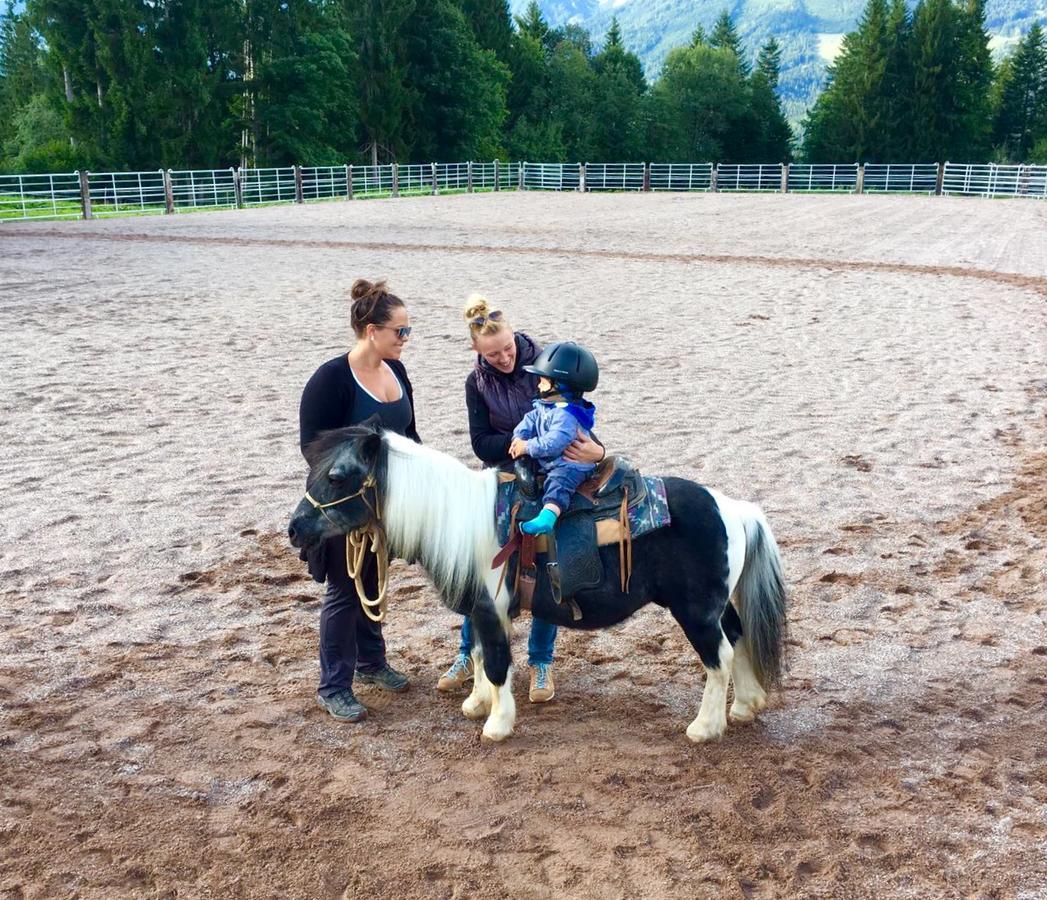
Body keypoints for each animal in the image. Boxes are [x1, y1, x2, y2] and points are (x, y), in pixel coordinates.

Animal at [286, 424, 787, 740]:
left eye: (337, 476)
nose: (294, 529)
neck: (463, 517)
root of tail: (733, 508)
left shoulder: (490, 609)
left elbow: (496, 663)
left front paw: (497, 724)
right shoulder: (483, 611)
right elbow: (483, 655)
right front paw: (477, 704)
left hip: (696, 612)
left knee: (719, 658)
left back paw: (705, 727)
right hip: (718, 606)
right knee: (739, 638)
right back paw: (744, 706)